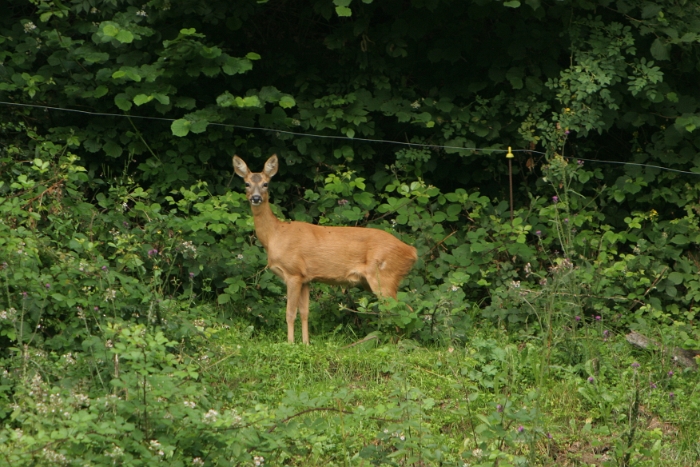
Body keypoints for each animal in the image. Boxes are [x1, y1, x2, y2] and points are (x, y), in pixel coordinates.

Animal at [232, 155, 418, 346]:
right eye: (247, 183)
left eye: (266, 184)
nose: (255, 198)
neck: (275, 235)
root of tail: (412, 251)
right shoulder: (305, 278)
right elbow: (305, 312)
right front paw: (306, 343)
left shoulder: (293, 273)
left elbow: (290, 313)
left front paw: (290, 344)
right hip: (375, 280)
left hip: (384, 275)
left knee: (400, 309)